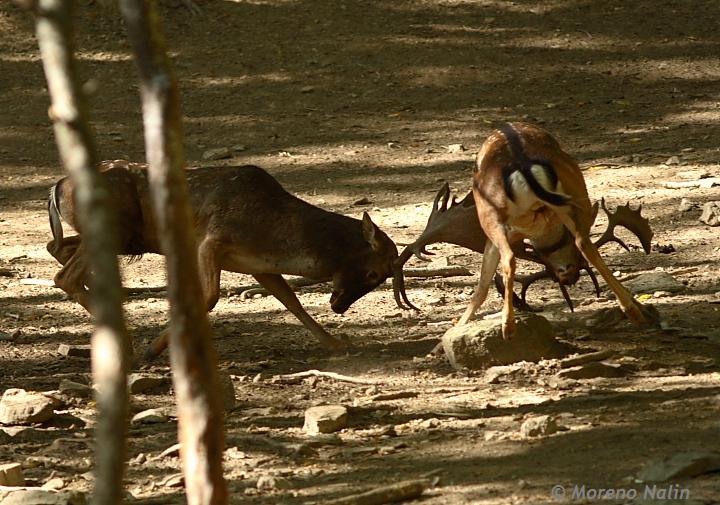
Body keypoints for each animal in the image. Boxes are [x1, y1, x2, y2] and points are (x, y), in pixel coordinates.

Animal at [47, 159, 414, 356]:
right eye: (373, 273)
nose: (339, 306)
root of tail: (56, 187)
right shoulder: (212, 241)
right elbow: (209, 296)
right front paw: (155, 348)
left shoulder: (259, 266)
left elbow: (292, 302)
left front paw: (336, 343)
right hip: (116, 228)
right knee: (63, 274)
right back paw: (129, 342)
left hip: (125, 239)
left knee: (57, 249)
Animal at [450, 122, 664, 336]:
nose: (570, 278)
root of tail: (523, 165)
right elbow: (483, 283)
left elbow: (483, 282)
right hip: (568, 195)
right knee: (582, 243)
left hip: (492, 214)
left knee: (513, 256)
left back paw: (508, 327)